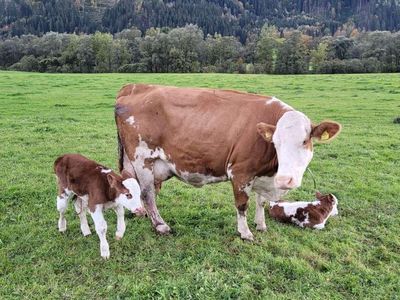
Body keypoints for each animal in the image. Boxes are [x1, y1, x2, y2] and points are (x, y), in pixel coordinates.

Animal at [114, 84, 342, 241]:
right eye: (275, 142)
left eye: (304, 141)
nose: (285, 180)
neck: (272, 171)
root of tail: (136, 86)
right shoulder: (240, 172)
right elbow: (242, 204)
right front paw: (245, 232)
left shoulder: (262, 174)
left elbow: (261, 201)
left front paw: (261, 224)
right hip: (143, 158)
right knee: (148, 193)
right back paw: (161, 225)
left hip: (133, 161)